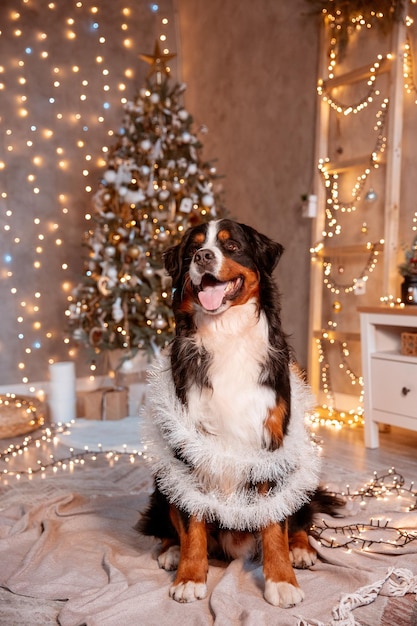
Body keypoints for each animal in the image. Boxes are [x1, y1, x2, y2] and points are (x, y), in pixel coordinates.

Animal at [138, 218, 340, 604]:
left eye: (231, 246)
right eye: (192, 248)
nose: (203, 256)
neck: (225, 333)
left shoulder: (271, 445)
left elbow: (275, 523)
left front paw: (282, 580)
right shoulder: (190, 448)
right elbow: (192, 521)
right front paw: (190, 575)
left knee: (299, 518)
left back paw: (300, 549)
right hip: (162, 476)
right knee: (170, 519)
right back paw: (171, 550)